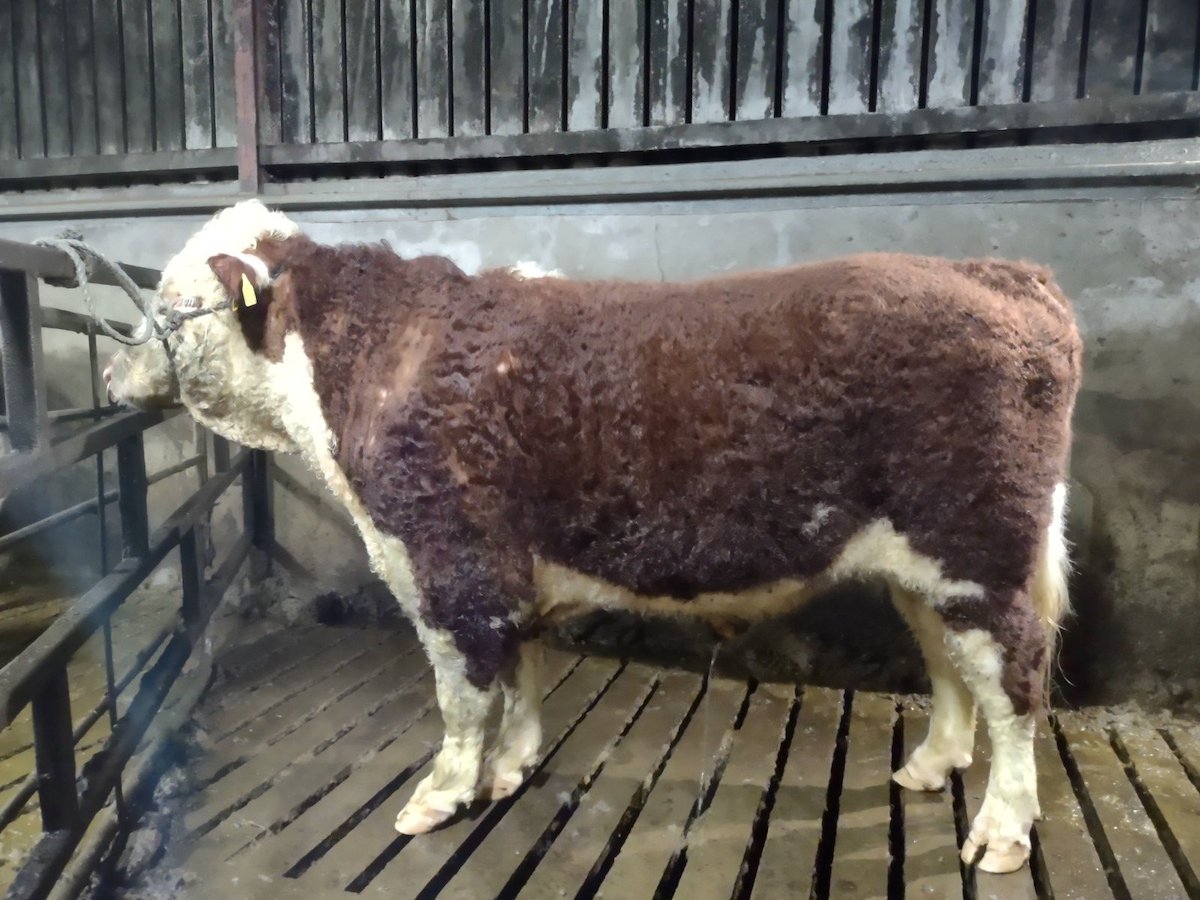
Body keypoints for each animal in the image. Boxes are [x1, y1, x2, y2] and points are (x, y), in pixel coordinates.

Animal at [106, 200, 1081, 874]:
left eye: (168, 301)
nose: (113, 375)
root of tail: (1004, 275)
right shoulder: (506, 572)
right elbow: (522, 671)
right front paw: (512, 768)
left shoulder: (446, 562)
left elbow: (463, 695)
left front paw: (441, 795)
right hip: (928, 565)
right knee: (950, 665)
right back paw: (931, 766)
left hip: (979, 551)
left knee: (1014, 679)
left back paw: (1001, 830)